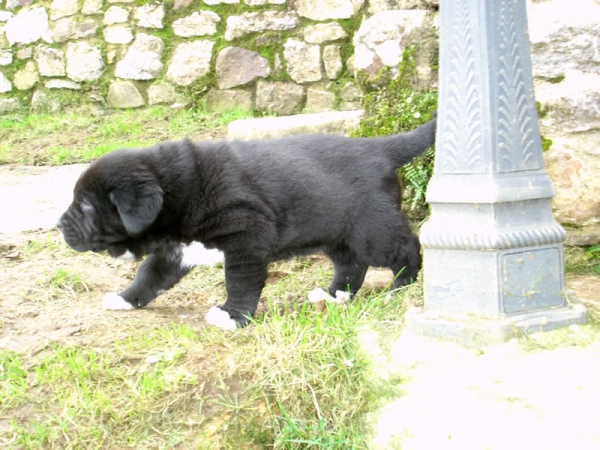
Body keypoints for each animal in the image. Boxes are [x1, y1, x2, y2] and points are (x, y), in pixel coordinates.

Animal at [57, 118, 436, 328]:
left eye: (87, 205)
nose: (59, 225)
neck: (181, 192)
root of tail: (379, 148)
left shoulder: (245, 239)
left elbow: (239, 281)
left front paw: (232, 316)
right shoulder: (176, 249)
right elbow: (148, 276)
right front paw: (125, 299)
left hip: (371, 228)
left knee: (406, 247)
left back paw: (400, 287)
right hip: (335, 232)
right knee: (350, 263)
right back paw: (334, 294)